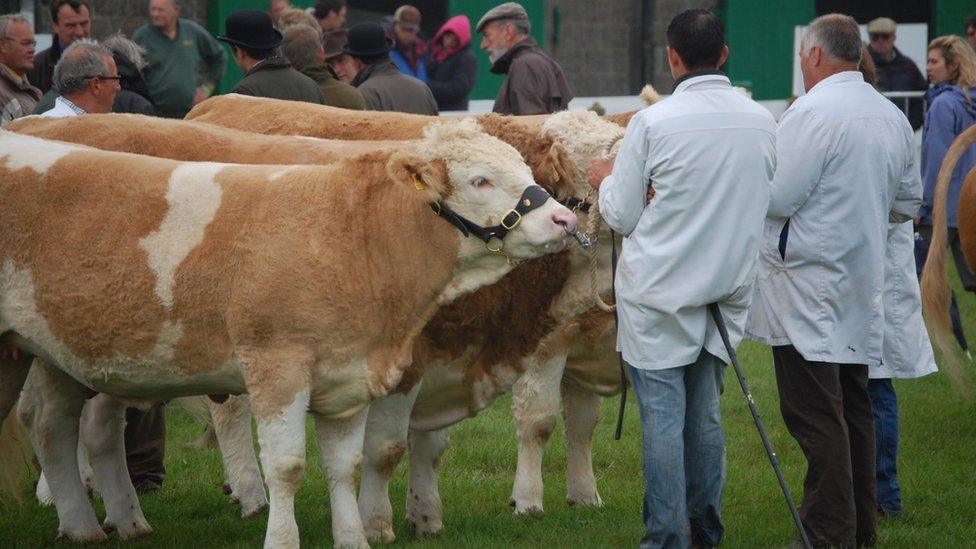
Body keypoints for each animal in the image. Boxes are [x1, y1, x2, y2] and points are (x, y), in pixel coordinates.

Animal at [0, 121, 576, 548]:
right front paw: (282, 538)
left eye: (526, 170)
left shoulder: (349, 377)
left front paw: (353, 538)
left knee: (53, 427)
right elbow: (287, 467)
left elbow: (344, 467)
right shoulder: (276, 365)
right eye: (480, 180)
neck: (351, 237)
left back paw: (86, 527)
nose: (563, 219)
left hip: (51, 352)